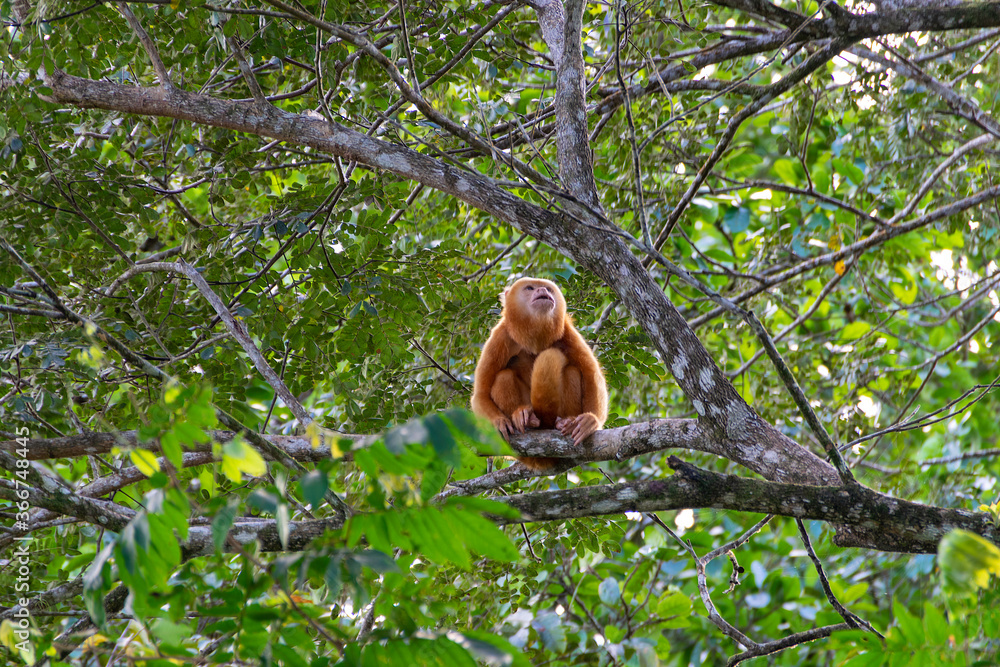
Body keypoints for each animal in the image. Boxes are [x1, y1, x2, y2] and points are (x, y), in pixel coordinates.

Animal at [471, 277, 608, 471]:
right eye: (530, 288)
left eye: (548, 289)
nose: (543, 290)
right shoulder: (500, 337)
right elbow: (480, 394)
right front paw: (499, 421)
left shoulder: (566, 332)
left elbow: (591, 374)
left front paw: (591, 420)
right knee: (503, 377)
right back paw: (528, 420)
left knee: (572, 371)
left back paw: (563, 423)